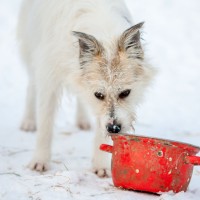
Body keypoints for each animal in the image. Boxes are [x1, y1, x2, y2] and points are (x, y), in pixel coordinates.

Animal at [17, 0, 155, 177]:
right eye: (99, 94)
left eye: (125, 93)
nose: (114, 128)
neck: (104, 33)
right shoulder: (49, 79)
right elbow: (45, 125)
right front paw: (40, 160)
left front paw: (100, 164)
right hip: (31, 53)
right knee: (32, 87)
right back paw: (28, 121)